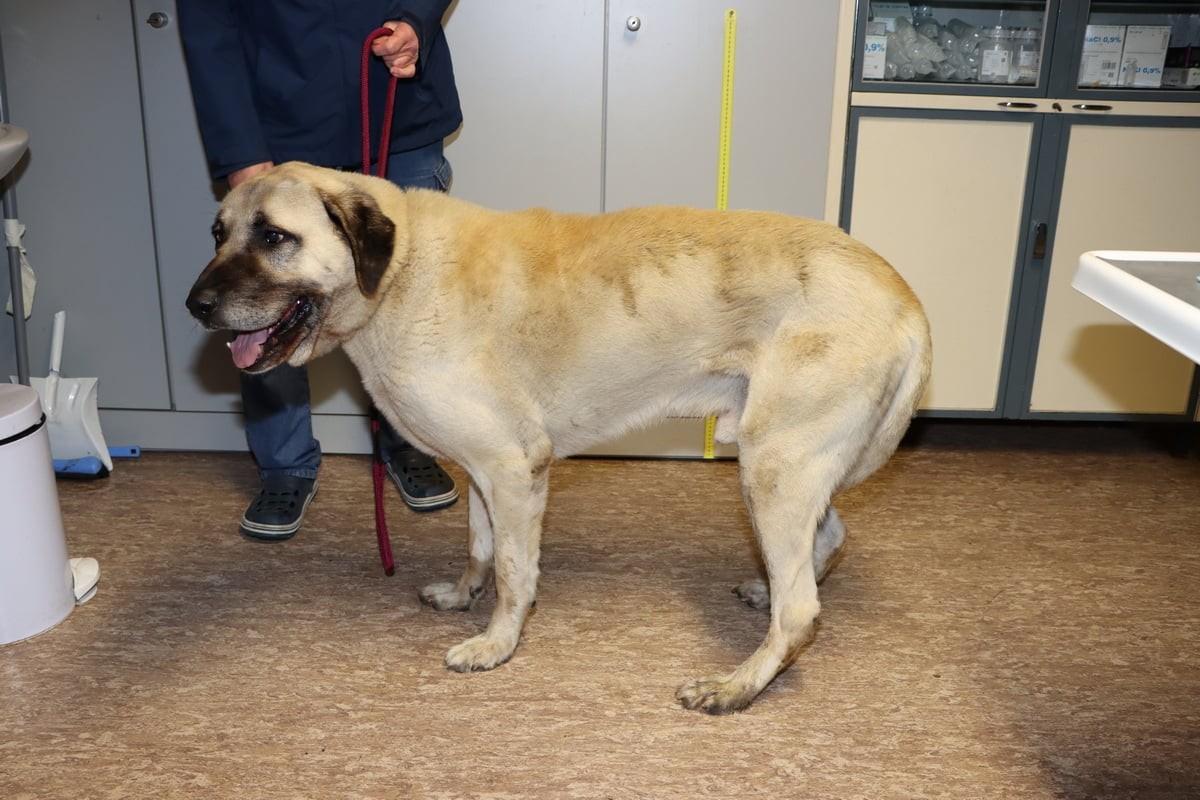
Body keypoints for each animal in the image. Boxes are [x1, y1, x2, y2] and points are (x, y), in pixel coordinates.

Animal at [187, 163, 931, 714]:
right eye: (218, 232)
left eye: (274, 236)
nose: (195, 305)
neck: (402, 271)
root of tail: (905, 298)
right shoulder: (482, 472)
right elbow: (481, 548)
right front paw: (464, 597)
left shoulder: (515, 469)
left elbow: (515, 572)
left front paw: (497, 644)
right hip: (786, 466)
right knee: (825, 544)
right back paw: (763, 593)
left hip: (773, 467)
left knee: (801, 610)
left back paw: (736, 685)